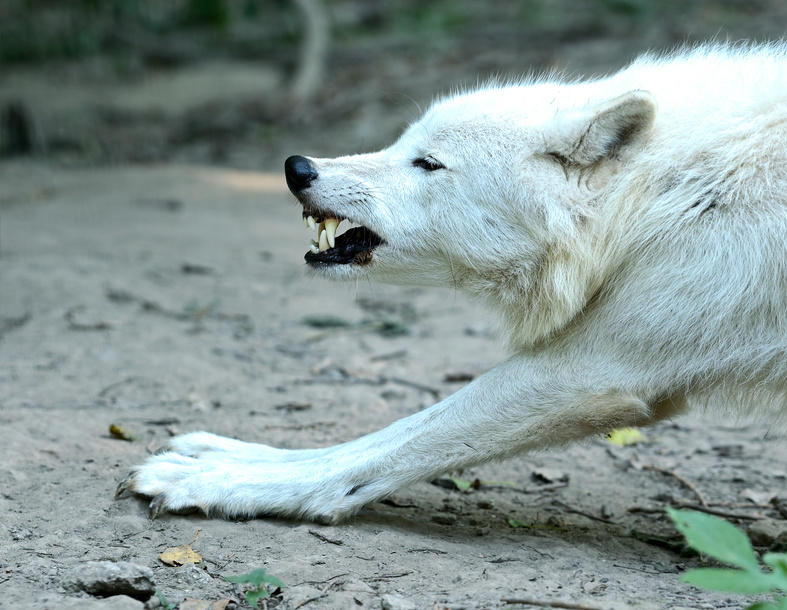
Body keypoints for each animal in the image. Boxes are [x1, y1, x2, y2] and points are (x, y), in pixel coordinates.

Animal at [117, 45, 787, 520]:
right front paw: (225, 455)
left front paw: (220, 481)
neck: (660, 193)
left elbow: (398, 440)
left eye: (429, 163)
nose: (297, 167)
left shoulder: (591, 371)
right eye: (403, 142)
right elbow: (387, 432)